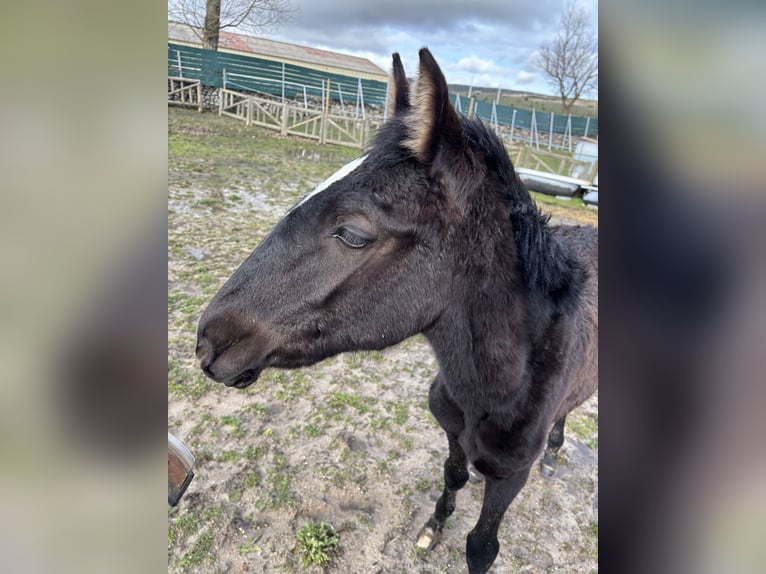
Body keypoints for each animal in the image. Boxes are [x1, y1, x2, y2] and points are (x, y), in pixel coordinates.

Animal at [195, 49, 596, 574]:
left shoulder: (510, 476)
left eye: (353, 233)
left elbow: (481, 547)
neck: (498, 386)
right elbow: (452, 475)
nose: (207, 340)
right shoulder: (451, 434)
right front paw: (432, 528)